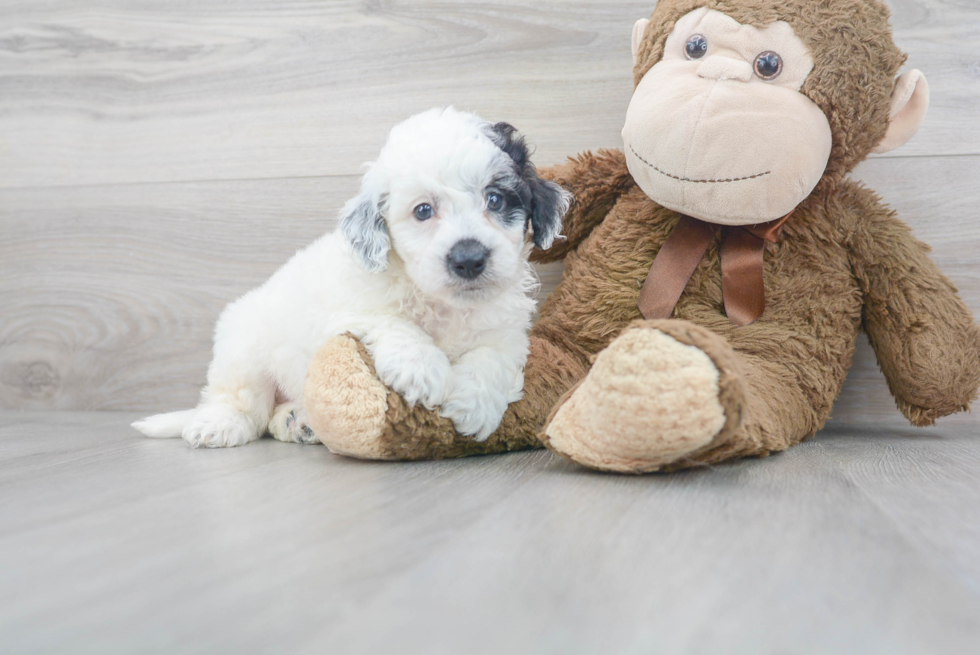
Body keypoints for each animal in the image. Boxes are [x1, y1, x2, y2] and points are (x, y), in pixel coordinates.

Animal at [134, 107, 572, 448]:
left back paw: (298, 421)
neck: (441, 302)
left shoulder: (506, 332)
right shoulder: (343, 313)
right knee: (241, 402)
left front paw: (474, 403)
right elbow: (390, 321)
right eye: (423, 210)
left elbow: (492, 357)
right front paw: (422, 368)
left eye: (495, 199)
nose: (469, 258)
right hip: (243, 346)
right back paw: (220, 424)